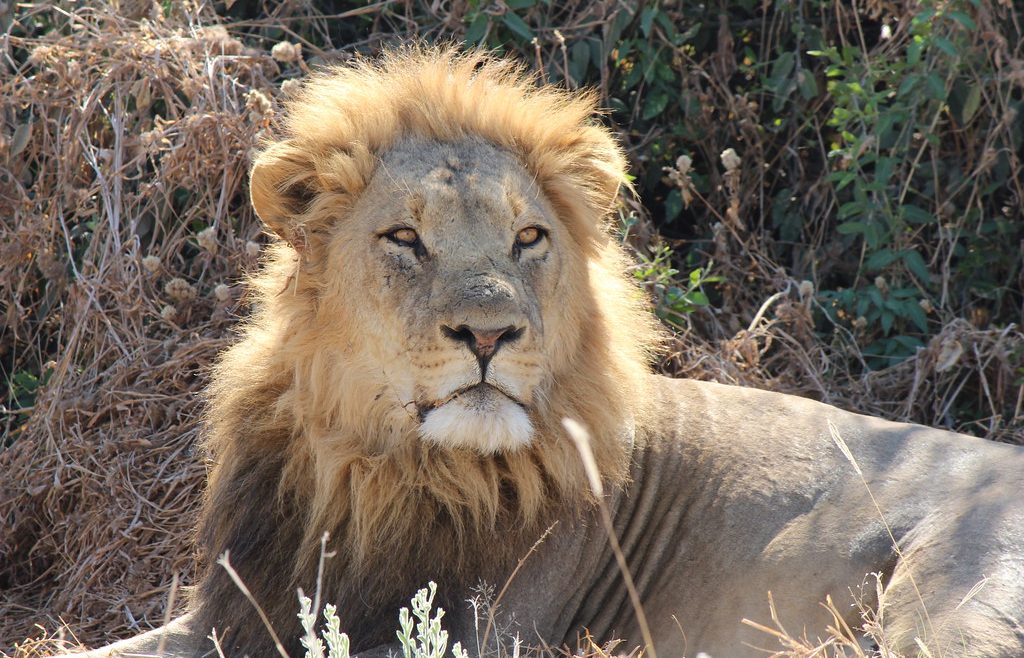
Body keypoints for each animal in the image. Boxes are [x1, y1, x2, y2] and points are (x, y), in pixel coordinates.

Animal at [70, 48, 1024, 658]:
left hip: (948, 604)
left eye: (528, 237)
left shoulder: (484, 632)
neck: (374, 470)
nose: (490, 333)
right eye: (404, 238)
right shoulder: (231, 614)